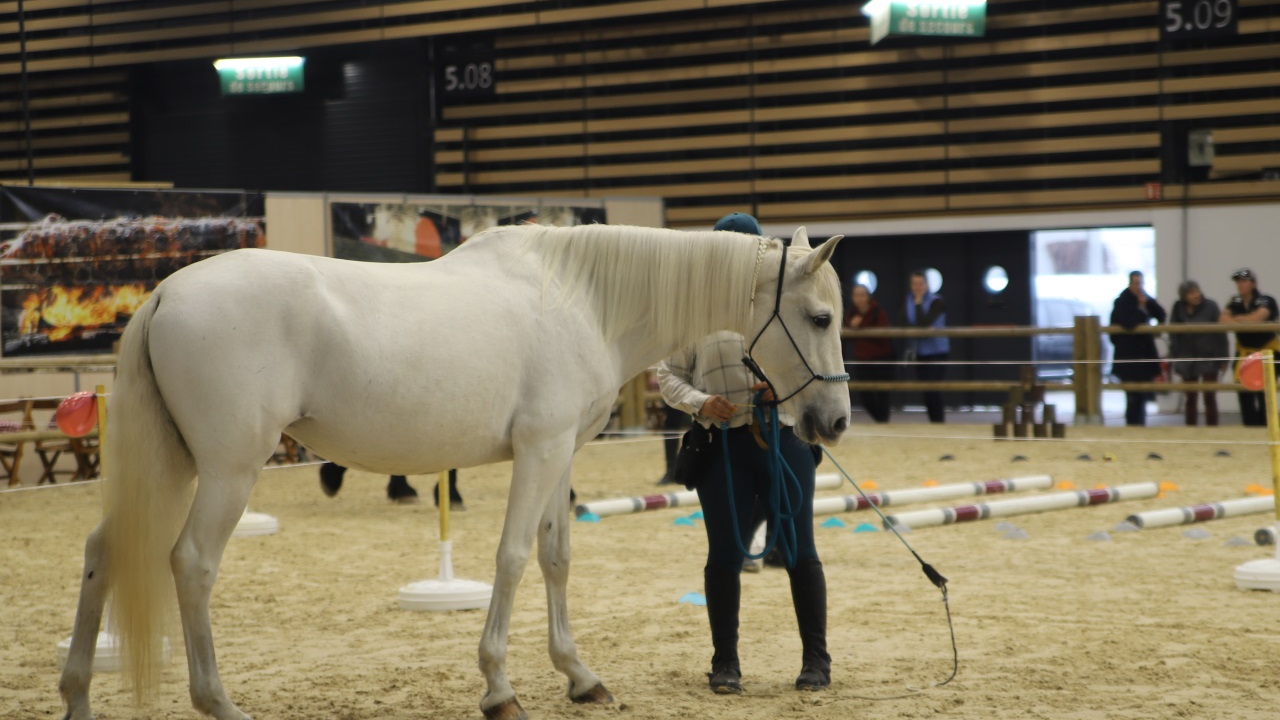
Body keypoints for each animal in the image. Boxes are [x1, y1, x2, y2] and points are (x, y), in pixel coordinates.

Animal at [57, 223, 849, 720]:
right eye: (819, 318)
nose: (834, 422)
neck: (583, 297)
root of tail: (166, 293)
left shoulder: (561, 452)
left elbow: (557, 558)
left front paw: (580, 677)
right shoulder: (539, 450)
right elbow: (513, 557)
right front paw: (500, 689)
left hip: (172, 464)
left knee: (102, 552)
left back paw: (78, 697)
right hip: (226, 470)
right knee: (190, 563)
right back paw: (218, 702)